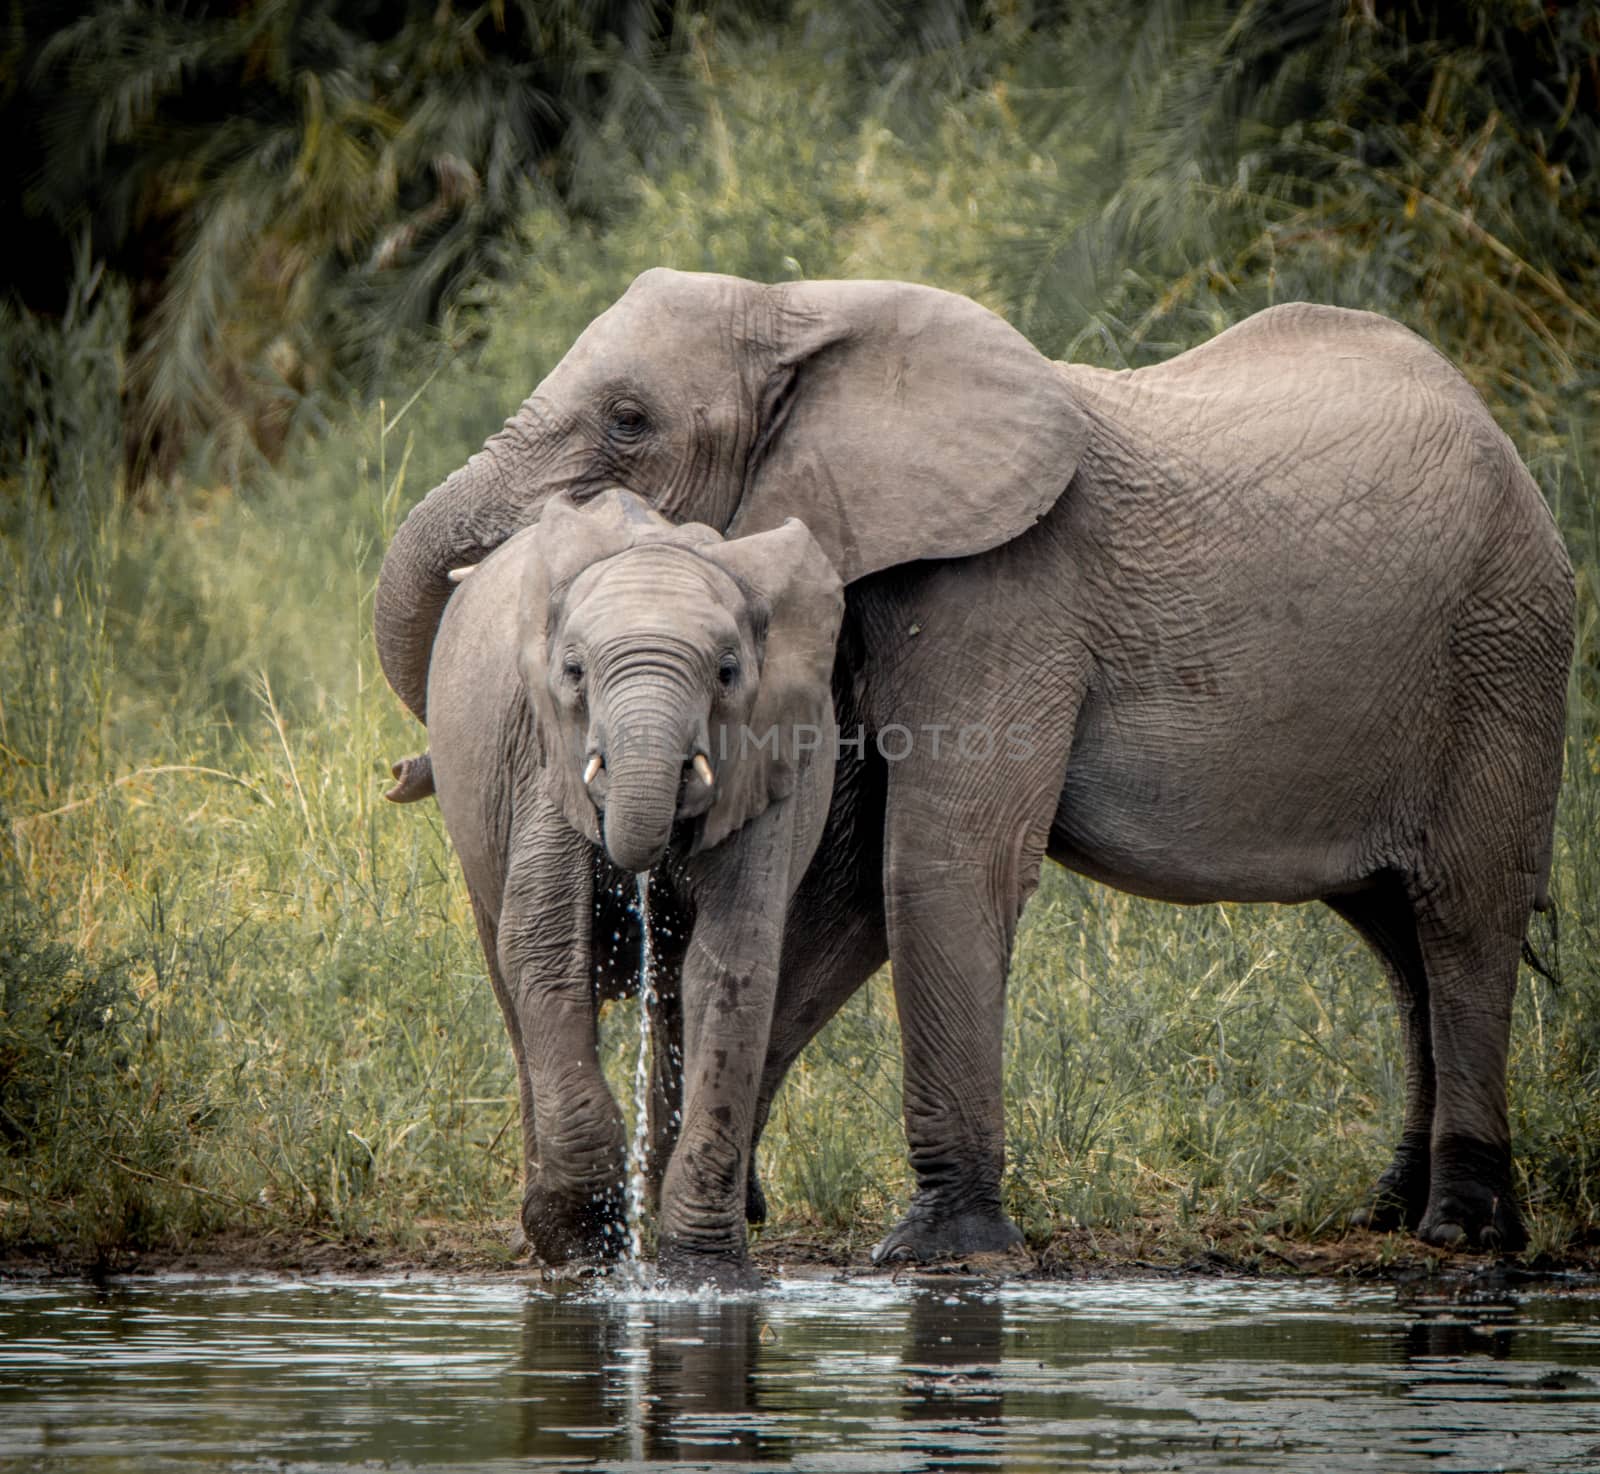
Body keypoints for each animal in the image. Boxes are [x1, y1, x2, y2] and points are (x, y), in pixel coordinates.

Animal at [425, 486, 851, 1286]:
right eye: (572, 673)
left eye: (727, 673)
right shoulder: (543, 762)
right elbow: (546, 945)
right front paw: (579, 1254)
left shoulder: (764, 764)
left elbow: (731, 968)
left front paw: (705, 1275)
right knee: (510, 981)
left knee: (674, 1000)